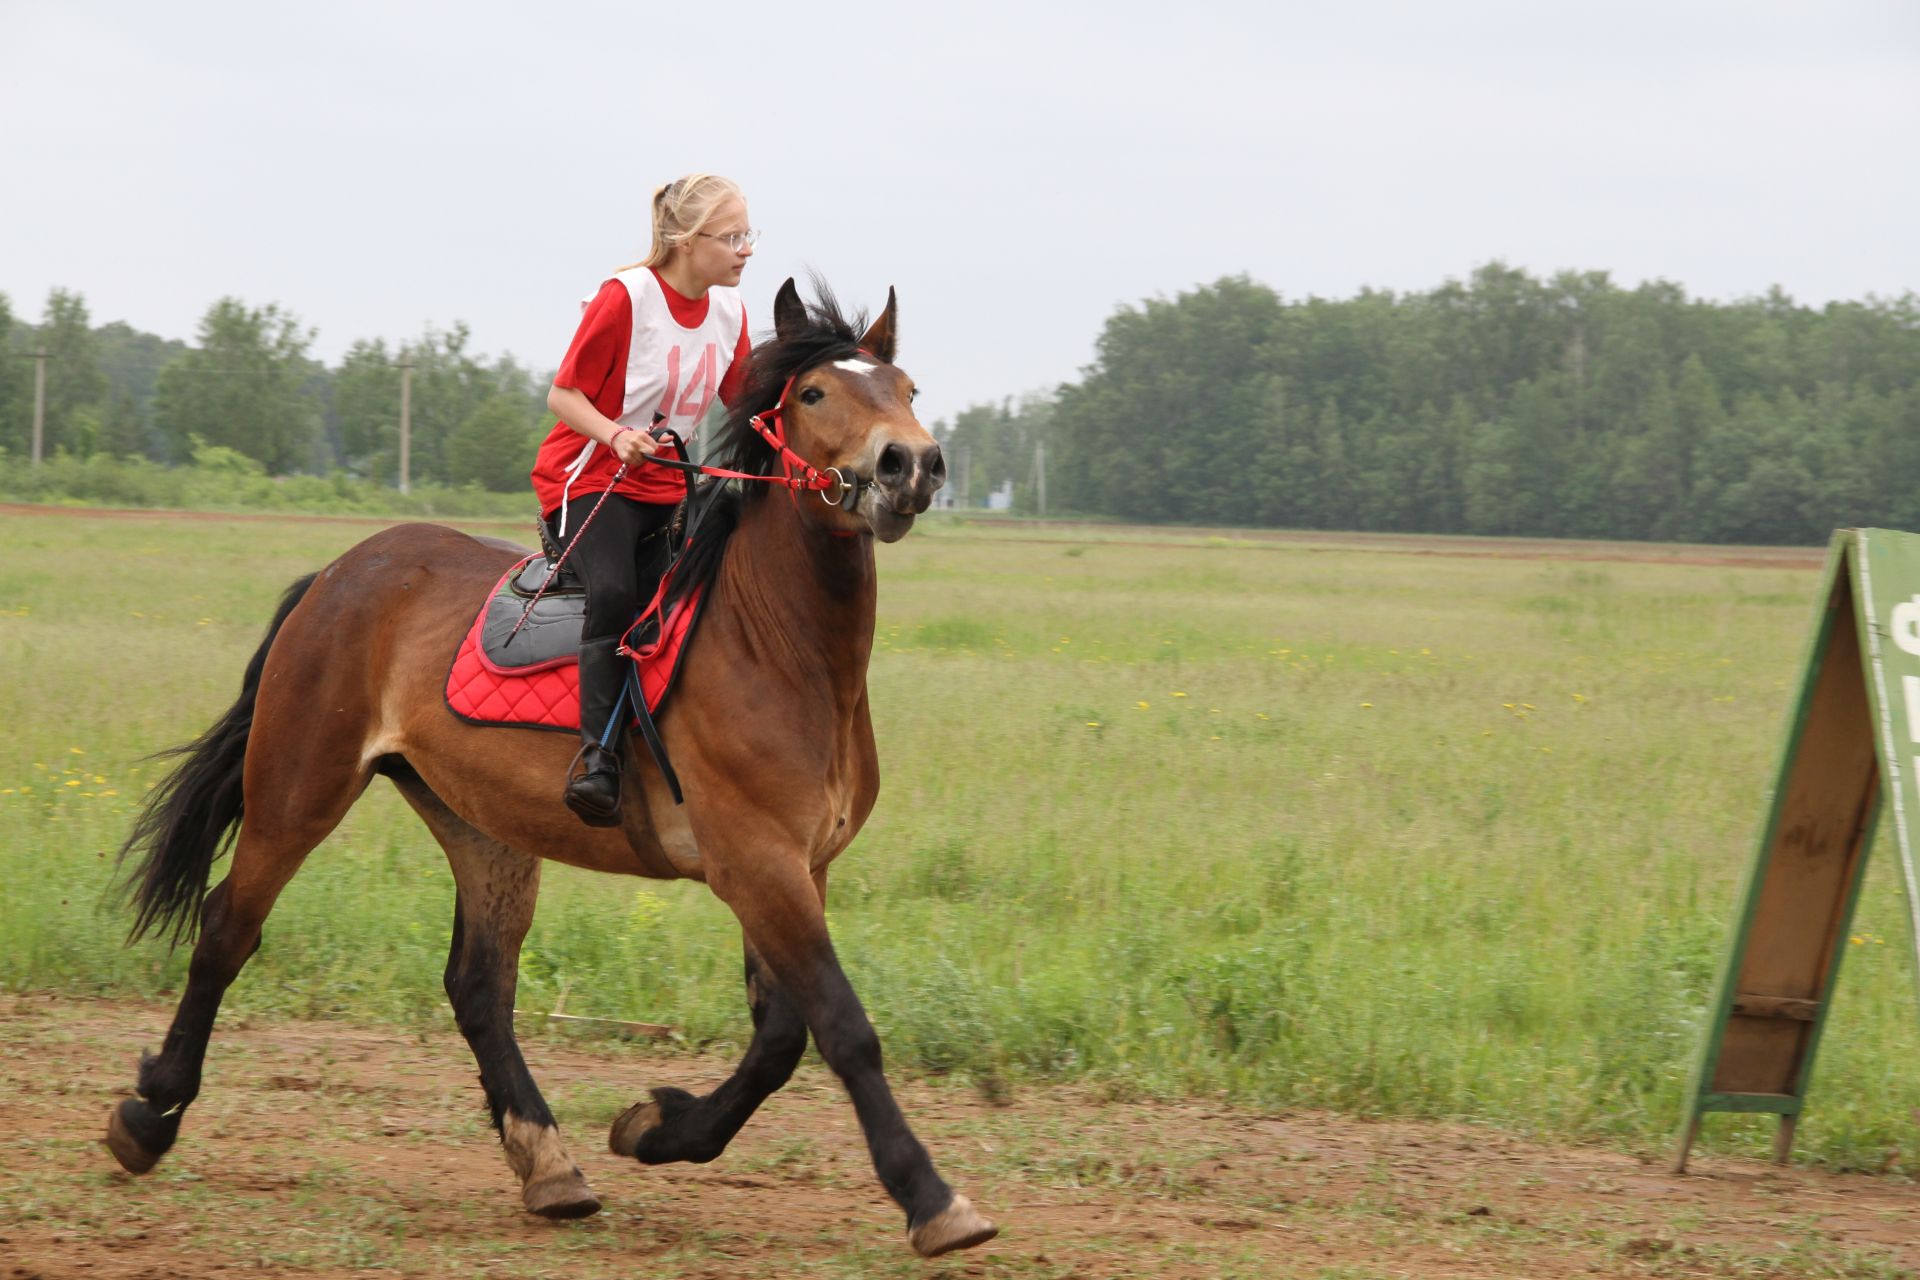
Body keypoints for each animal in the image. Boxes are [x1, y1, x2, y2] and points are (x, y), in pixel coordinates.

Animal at [101, 282, 1006, 1258]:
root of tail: (341, 572)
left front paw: (657, 1126)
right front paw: (930, 1197)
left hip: (481, 826)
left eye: (907, 388)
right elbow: (842, 1028)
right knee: (229, 925)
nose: (912, 464)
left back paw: (548, 1163)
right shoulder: (759, 865)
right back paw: (149, 1117)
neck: (776, 645)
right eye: (813, 394)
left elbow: (778, 1039)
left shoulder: (801, 868)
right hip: (299, 784)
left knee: (477, 987)